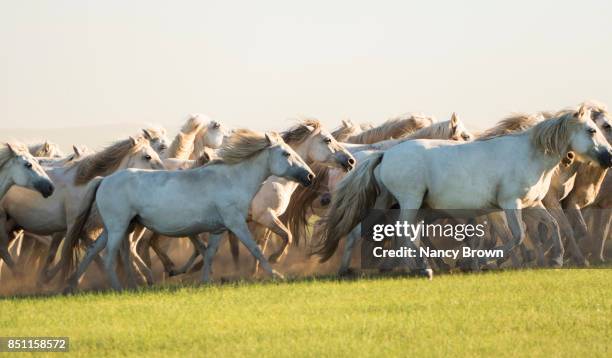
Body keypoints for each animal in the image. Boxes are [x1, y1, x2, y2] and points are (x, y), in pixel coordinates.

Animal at [65, 129, 316, 290]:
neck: (232, 179)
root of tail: (103, 180)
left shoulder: (219, 229)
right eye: (286, 153)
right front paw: (276, 273)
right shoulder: (236, 223)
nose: (310, 176)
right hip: (118, 228)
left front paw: (204, 281)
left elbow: (209, 253)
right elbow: (255, 248)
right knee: (109, 257)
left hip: (118, 228)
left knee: (93, 253)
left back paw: (74, 285)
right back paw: (120, 287)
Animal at [316, 105, 612, 276]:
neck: (528, 155)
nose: (609, 157)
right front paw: (481, 262)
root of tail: (385, 155)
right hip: (410, 202)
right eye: (592, 129)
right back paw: (421, 268)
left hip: (391, 203)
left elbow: (552, 225)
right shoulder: (510, 204)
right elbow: (518, 235)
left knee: (386, 234)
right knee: (402, 233)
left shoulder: (533, 205)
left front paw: (557, 259)